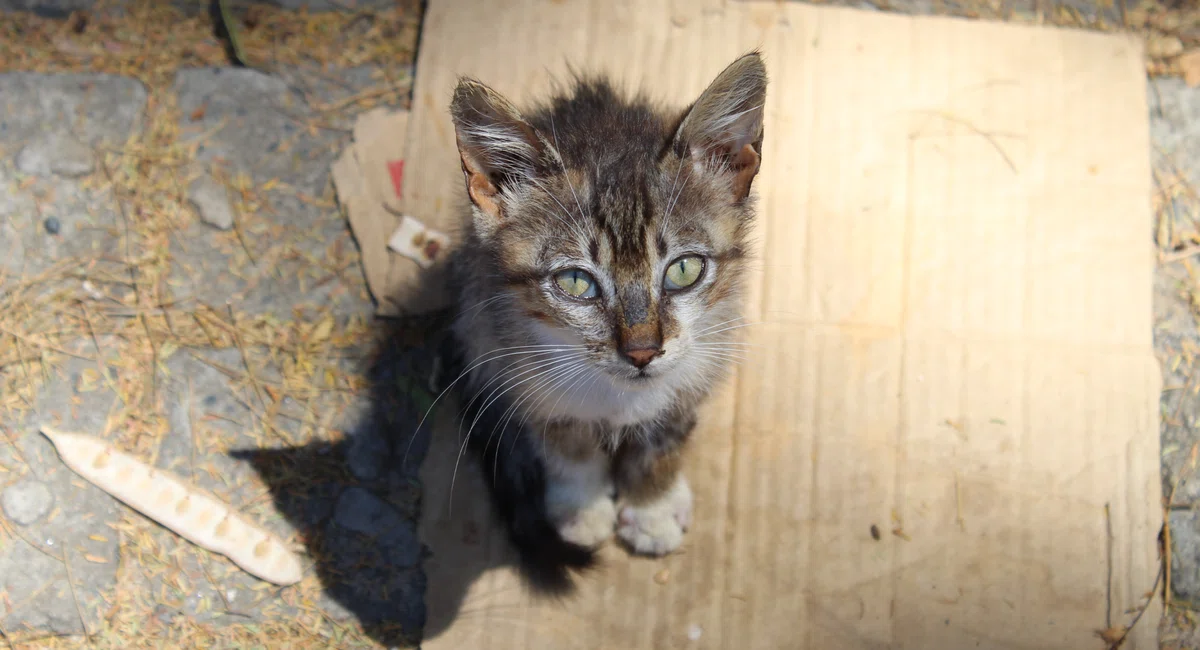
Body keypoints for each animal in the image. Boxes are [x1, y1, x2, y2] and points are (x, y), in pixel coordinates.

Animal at [441, 53, 768, 599]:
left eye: (684, 269)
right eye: (576, 281)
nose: (642, 351)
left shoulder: (699, 363)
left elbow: (664, 438)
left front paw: (653, 508)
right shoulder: (518, 362)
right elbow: (565, 439)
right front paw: (581, 508)